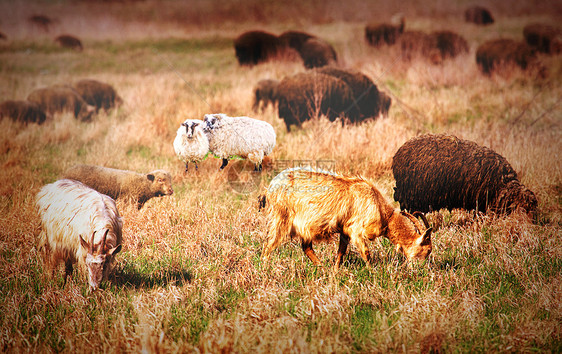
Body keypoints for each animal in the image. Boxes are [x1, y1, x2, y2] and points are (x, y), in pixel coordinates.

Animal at [260, 168, 430, 268]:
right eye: (428, 250)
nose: (421, 269)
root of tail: (270, 187)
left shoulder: (345, 230)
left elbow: (341, 251)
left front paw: (336, 270)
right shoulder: (357, 230)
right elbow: (366, 253)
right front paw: (373, 272)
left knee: (306, 247)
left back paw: (322, 268)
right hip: (281, 218)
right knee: (269, 245)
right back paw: (264, 267)